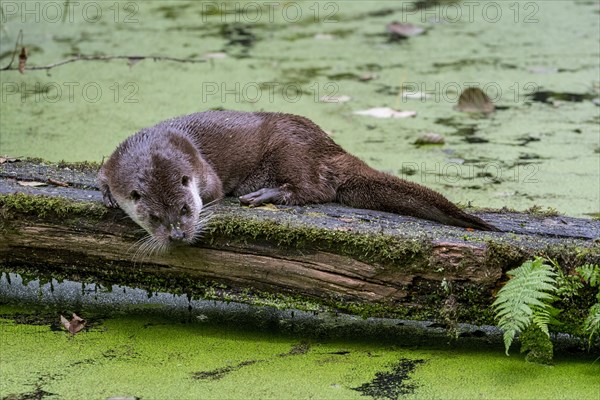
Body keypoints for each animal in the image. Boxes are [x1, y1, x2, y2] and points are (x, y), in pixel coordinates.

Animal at [98, 111, 496, 248]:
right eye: (154, 217)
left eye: (185, 208)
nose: (178, 236)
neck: (153, 146)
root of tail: (331, 146)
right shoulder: (115, 161)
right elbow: (103, 176)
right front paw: (106, 194)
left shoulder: (201, 170)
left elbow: (214, 190)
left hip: (290, 146)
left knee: (316, 188)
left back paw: (267, 194)